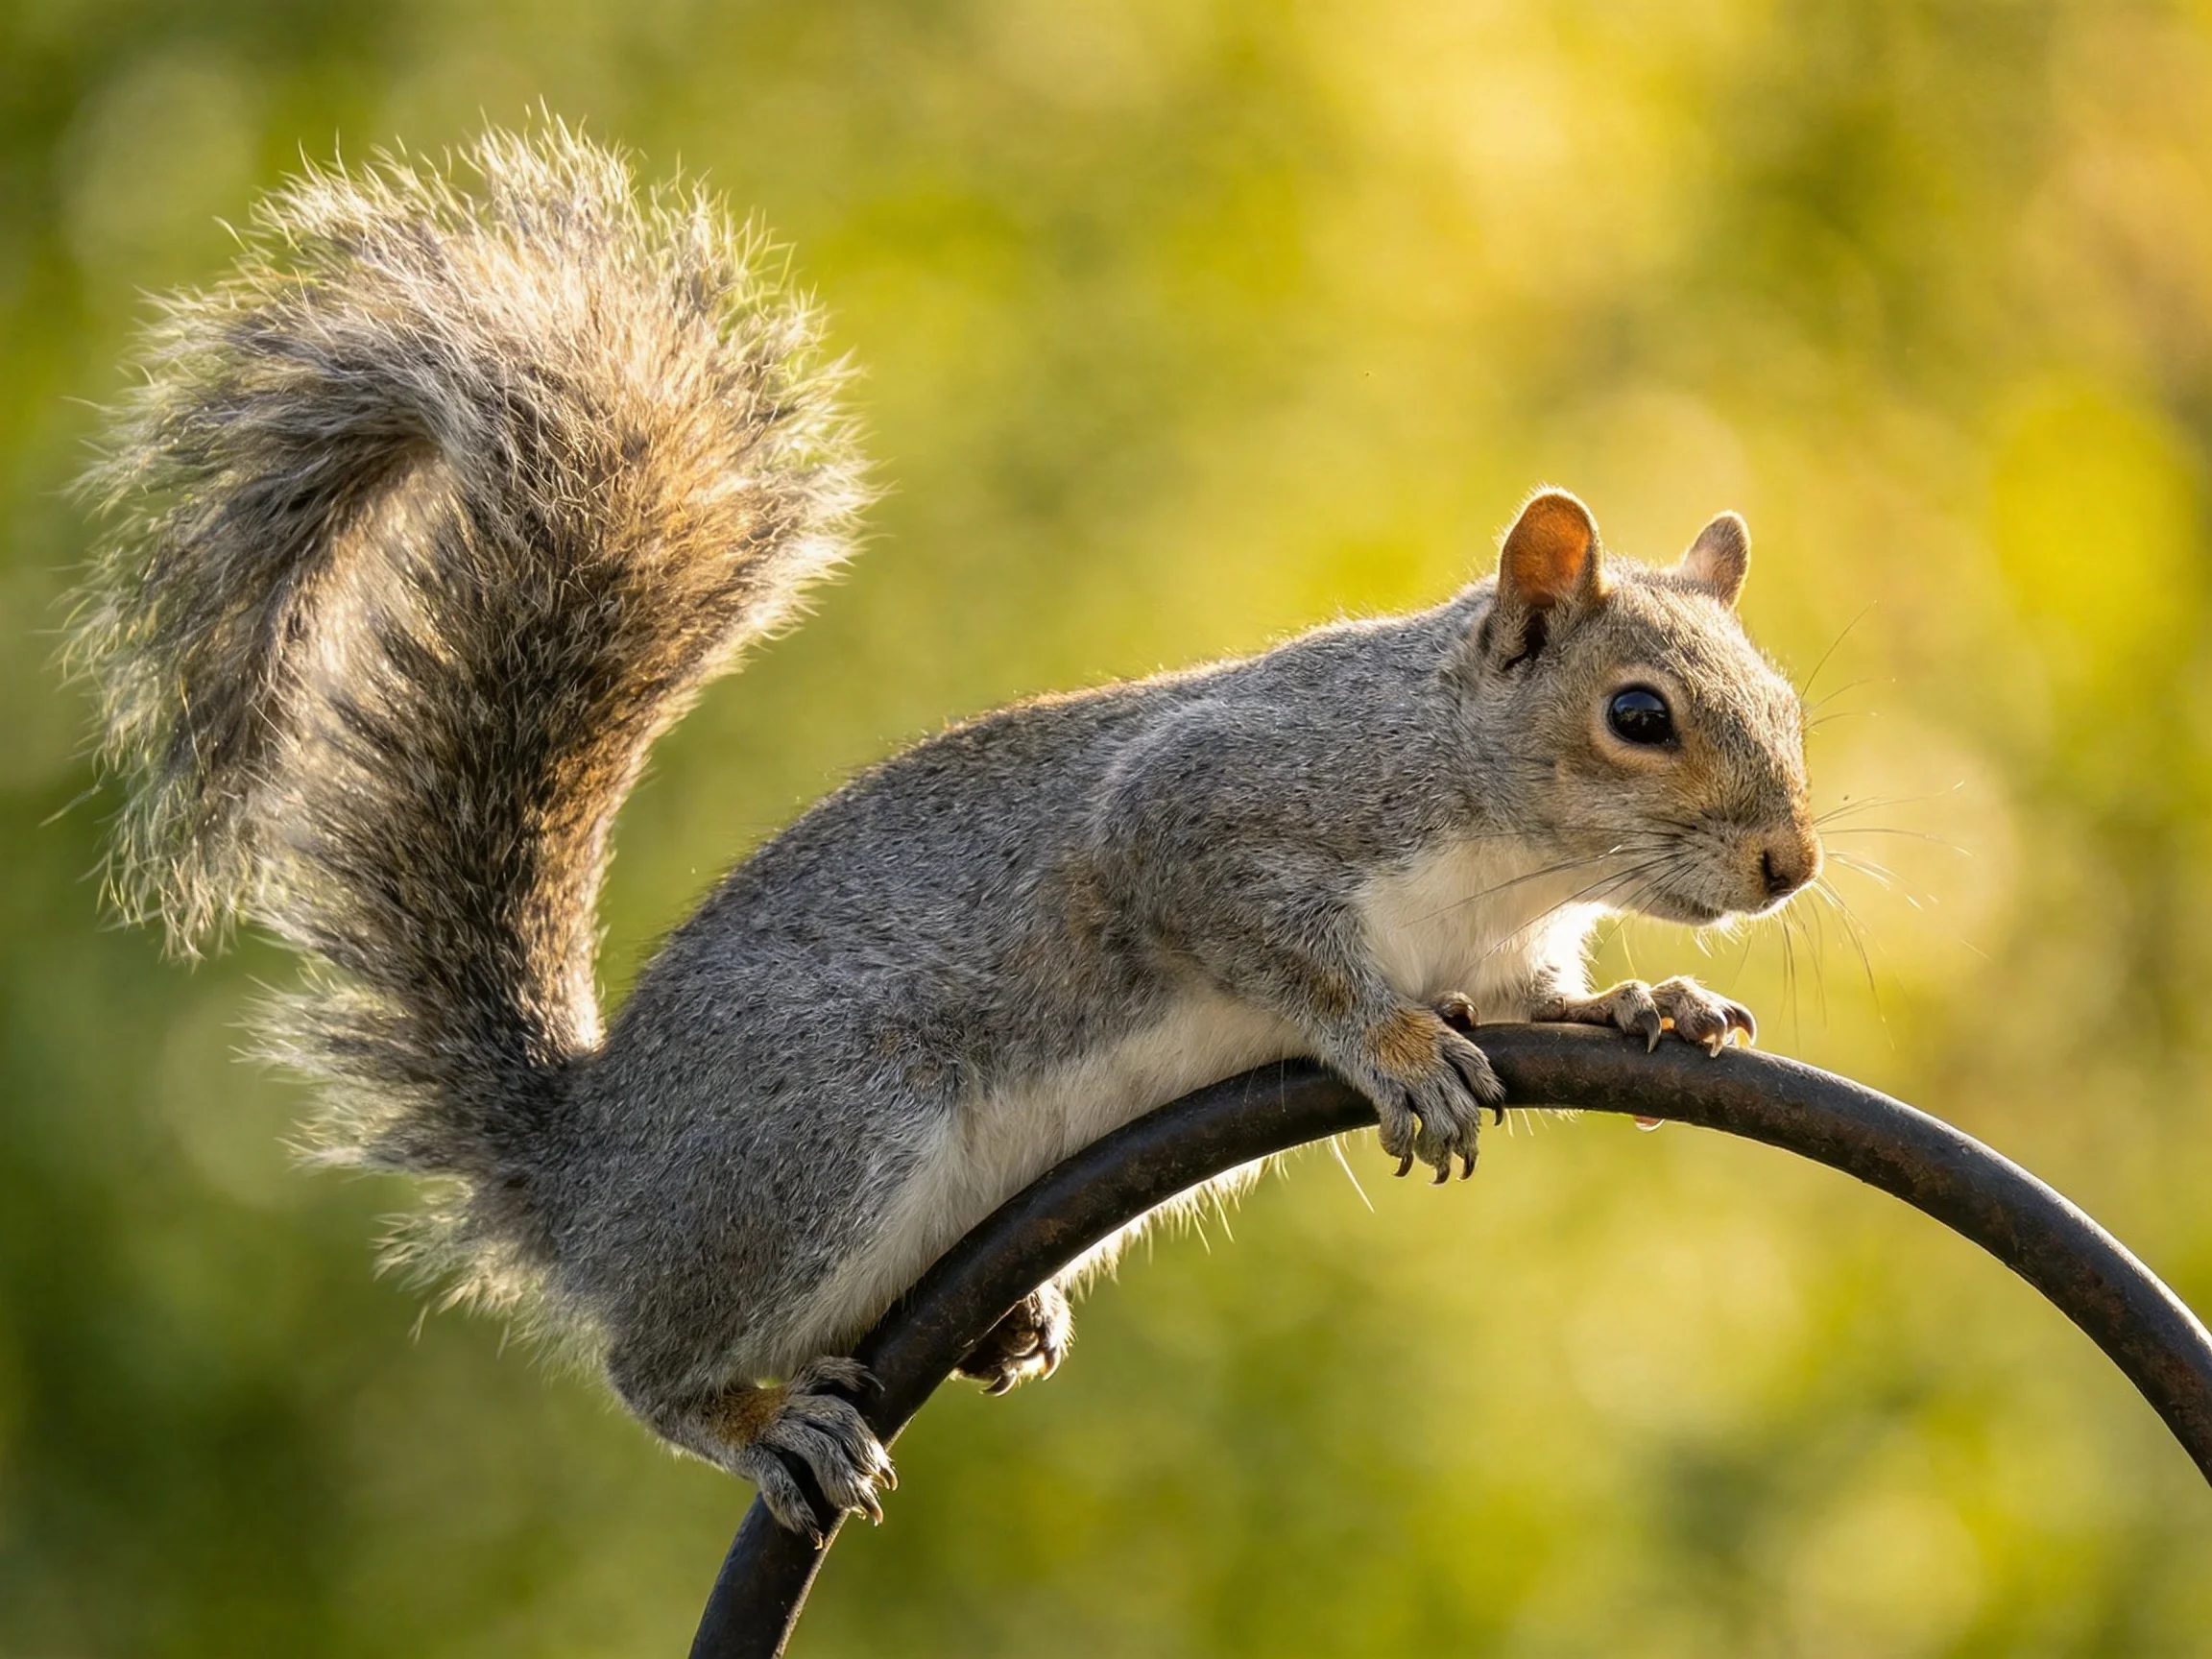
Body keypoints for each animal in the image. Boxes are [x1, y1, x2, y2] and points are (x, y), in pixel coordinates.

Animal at [69, 126, 1821, 1540]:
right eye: (1639, 715)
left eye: (1789, 701)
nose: (1785, 867)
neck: (1495, 838)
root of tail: (582, 1171)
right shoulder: (1208, 810)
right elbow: (1267, 937)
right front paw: (1393, 1044)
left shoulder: (1501, 945)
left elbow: (1540, 1003)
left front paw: (1651, 1003)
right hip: (822, 1145)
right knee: (653, 1361)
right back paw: (763, 1424)